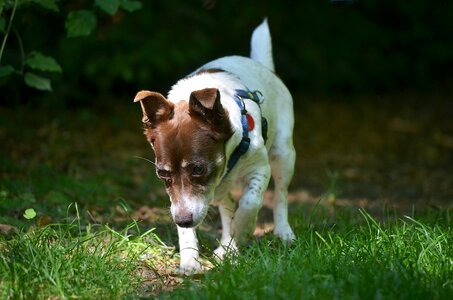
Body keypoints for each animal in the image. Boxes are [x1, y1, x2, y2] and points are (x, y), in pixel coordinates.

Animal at [133, 18, 296, 272]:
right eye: (162, 173)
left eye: (198, 168)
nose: (183, 220)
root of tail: (259, 63)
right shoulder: (179, 200)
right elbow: (193, 226)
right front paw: (190, 261)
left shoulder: (260, 168)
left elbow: (249, 202)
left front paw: (243, 231)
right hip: (219, 192)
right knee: (227, 204)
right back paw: (227, 246)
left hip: (283, 154)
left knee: (280, 194)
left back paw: (282, 232)